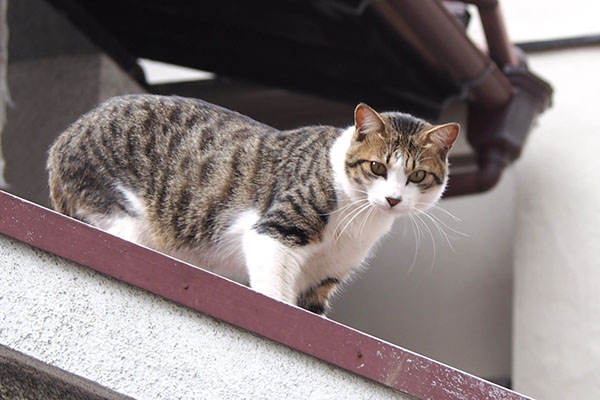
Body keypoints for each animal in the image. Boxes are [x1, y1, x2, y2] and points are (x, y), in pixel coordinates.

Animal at [48, 94, 460, 316]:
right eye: (377, 167)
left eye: (417, 176)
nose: (392, 198)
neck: (359, 220)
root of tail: (61, 141)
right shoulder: (274, 232)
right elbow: (274, 292)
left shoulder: (322, 279)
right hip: (120, 212)